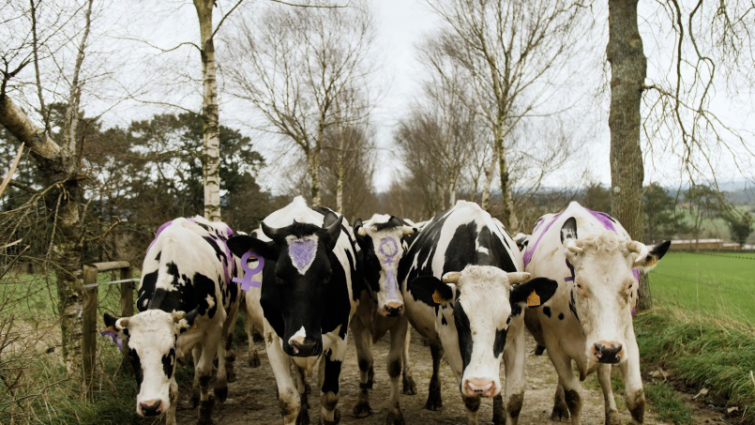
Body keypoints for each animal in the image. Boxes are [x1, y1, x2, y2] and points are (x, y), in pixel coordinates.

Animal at [102, 216, 242, 425]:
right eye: (132, 355)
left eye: (168, 352)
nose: (150, 406)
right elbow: (172, 389)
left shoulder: (213, 327)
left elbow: (204, 372)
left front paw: (204, 415)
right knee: (197, 353)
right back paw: (195, 394)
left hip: (230, 311)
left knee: (223, 344)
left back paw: (219, 387)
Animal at [227, 196, 360, 425]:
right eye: (278, 274)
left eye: (328, 274)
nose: (304, 344)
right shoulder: (274, 341)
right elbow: (289, 401)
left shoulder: (339, 338)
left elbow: (329, 397)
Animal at [349, 214, 419, 419]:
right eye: (370, 259)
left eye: (403, 260)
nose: (393, 307)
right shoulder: (357, 323)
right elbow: (364, 360)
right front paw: (362, 403)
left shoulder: (401, 321)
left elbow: (394, 364)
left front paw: (395, 411)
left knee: (405, 349)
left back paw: (408, 381)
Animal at [394, 200, 558, 425]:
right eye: (458, 317)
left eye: (507, 318)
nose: (482, 383)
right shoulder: (450, 336)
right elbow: (470, 399)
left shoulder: (516, 334)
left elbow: (515, 399)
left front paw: (503, 409)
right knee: (433, 353)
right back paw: (432, 396)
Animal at [522, 201, 670, 424]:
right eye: (579, 284)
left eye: (629, 285)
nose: (608, 350)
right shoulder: (554, 344)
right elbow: (574, 396)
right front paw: (566, 404)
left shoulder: (625, 338)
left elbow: (635, 399)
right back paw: (559, 406)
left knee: (604, 377)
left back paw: (612, 415)